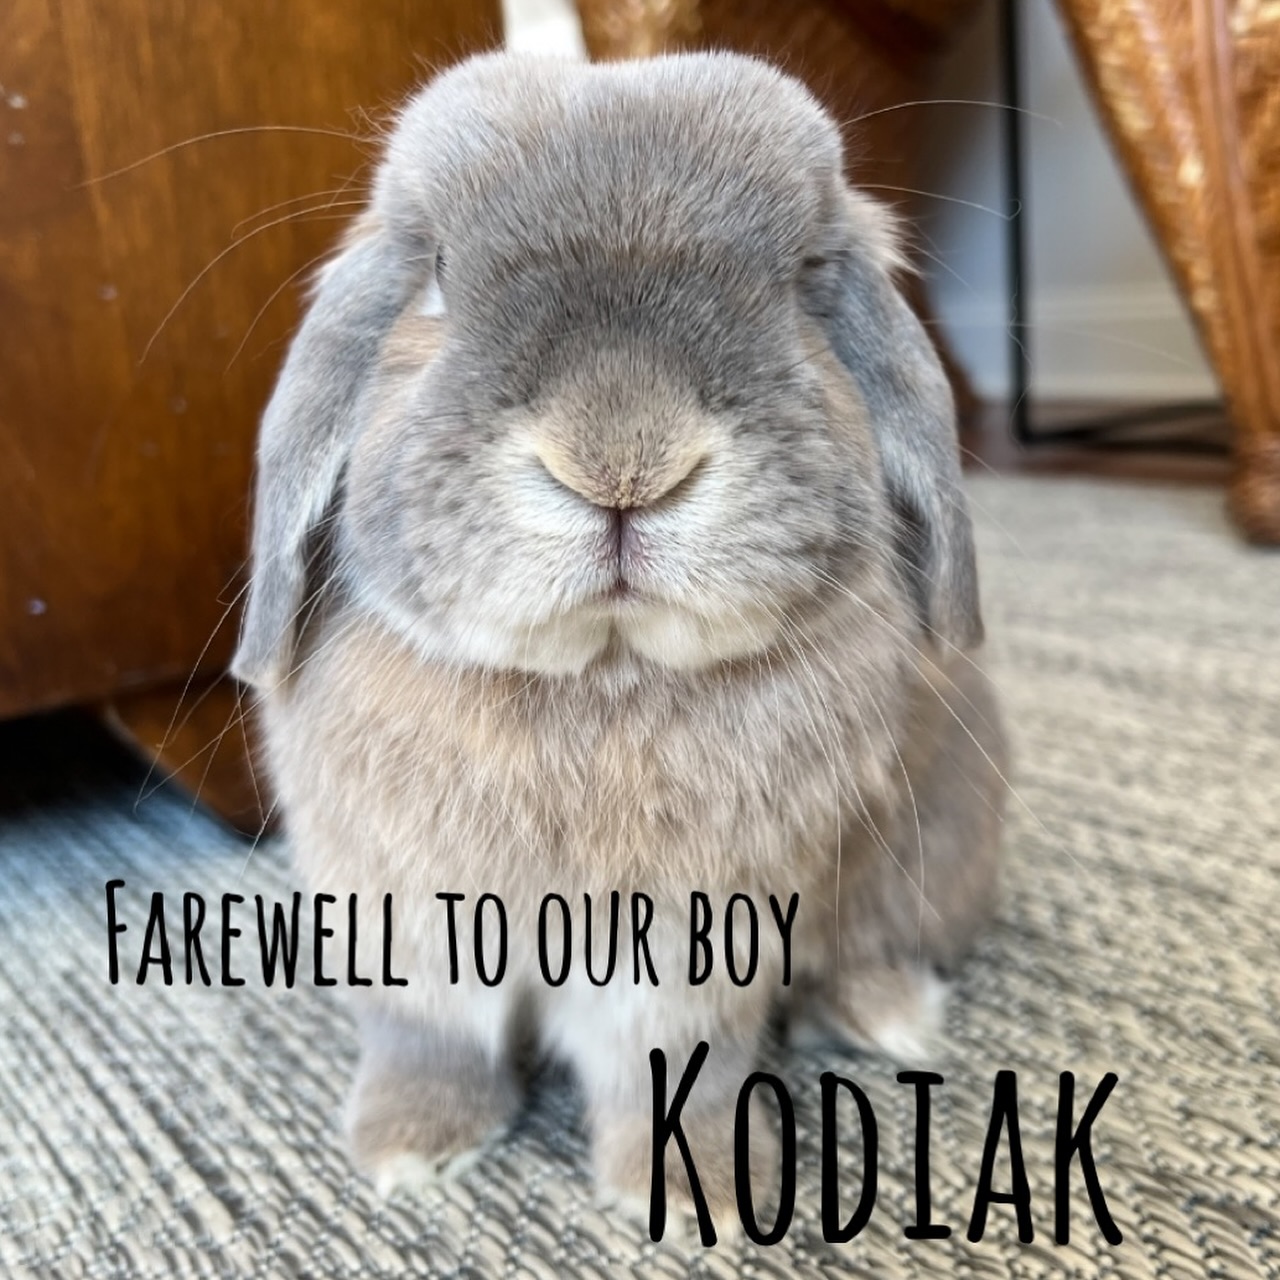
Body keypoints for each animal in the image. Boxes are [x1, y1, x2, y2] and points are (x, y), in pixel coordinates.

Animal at [231, 50, 1007, 1235]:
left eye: (800, 285)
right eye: (437, 281)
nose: (622, 459)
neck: (603, 672)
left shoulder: (691, 942)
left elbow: (673, 1063)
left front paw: (702, 1197)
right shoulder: (404, 913)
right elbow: (431, 1035)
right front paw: (410, 1146)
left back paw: (888, 1014)